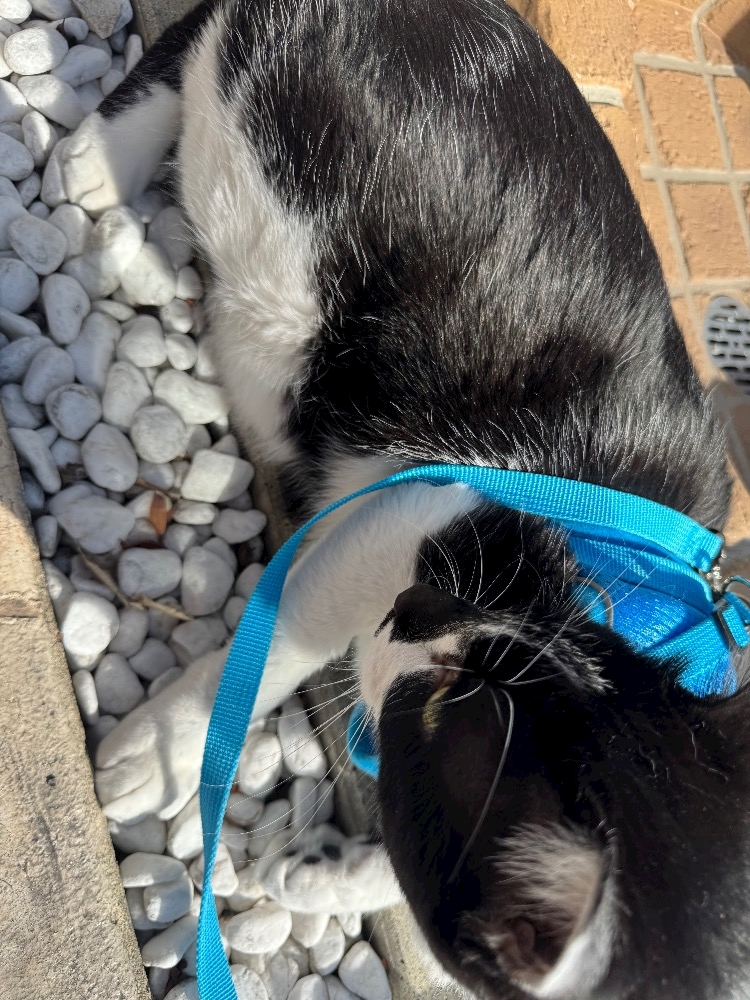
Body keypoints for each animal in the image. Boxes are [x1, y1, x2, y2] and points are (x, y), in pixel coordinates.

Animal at [61, 2, 750, 998]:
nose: (420, 608)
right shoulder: (448, 495)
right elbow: (292, 629)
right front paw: (165, 751)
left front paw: (319, 877)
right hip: (288, 244)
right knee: (206, 57)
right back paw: (107, 186)